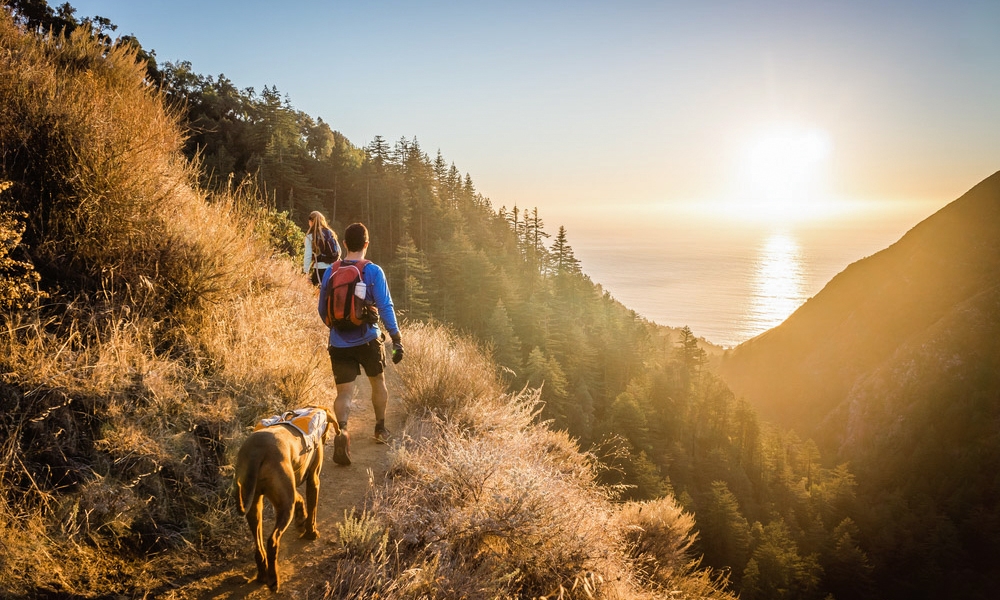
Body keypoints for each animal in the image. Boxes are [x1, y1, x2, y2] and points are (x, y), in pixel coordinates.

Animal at [233, 406, 336, 592]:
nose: (325, 439)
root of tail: (257, 450)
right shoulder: (313, 480)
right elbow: (312, 509)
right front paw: (311, 532)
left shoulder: (289, 487)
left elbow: (300, 498)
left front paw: (301, 519)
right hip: (285, 506)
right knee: (272, 541)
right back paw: (273, 579)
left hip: (256, 503)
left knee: (259, 546)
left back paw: (262, 574)